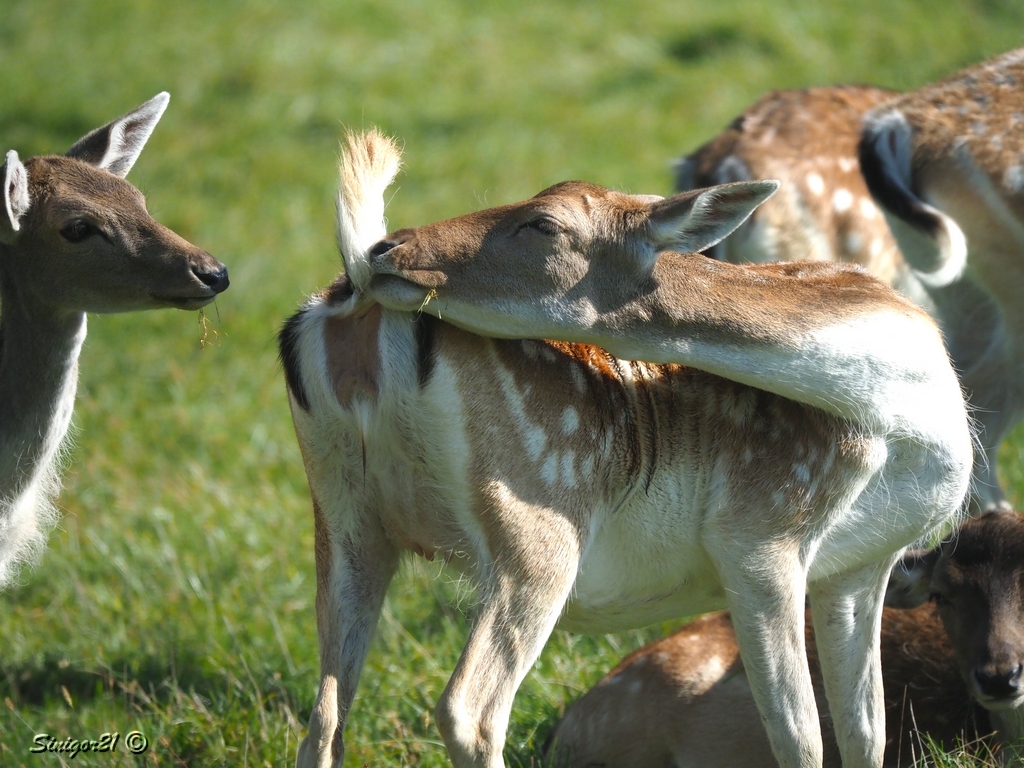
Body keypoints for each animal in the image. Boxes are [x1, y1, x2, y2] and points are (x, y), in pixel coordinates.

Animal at [284, 128, 970, 768]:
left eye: (543, 221)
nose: (387, 248)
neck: (905, 414)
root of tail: (353, 303)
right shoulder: (760, 528)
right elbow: (801, 738)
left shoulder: (860, 562)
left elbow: (864, 734)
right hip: (537, 513)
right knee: (467, 708)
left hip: (346, 513)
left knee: (324, 719)